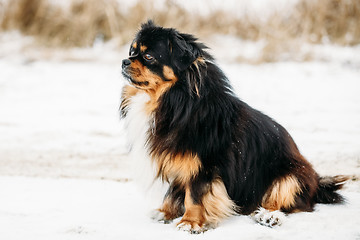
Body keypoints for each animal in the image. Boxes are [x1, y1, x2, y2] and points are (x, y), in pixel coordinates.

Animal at [121, 19, 348, 233]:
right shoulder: (178, 161)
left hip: (290, 177)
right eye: (132, 52)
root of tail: (317, 182)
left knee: (287, 203)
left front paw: (190, 222)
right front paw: (165, 212)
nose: (124, 61)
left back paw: (268, 216)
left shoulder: (202, 165)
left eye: (148, 56)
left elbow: (194, 195)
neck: (176, 101)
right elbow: (173, 191)